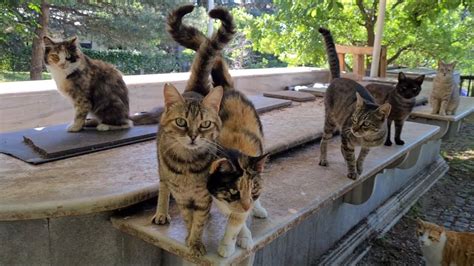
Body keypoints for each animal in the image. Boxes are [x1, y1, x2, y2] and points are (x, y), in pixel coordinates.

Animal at [316, 27, 390, 181]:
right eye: (354, 119)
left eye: (366, 123)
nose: (354, 129)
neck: (365, 139)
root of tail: (337, 78)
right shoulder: (346, 138)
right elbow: (351, 157)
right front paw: (352, 171)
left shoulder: (366, 147)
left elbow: (361, 157)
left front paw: (359, 167)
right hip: (330, 122)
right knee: (323, 141)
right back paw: (323, 159)